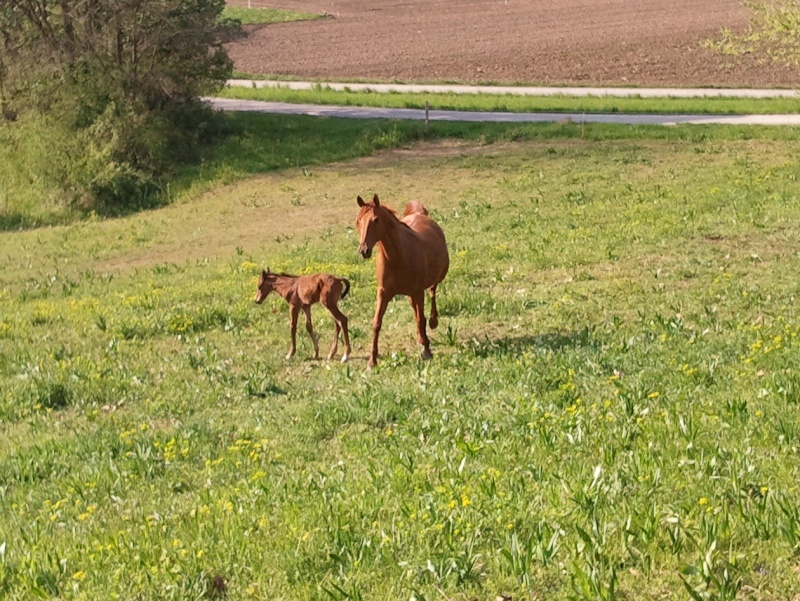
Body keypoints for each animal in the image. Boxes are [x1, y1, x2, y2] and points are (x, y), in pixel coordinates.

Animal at [356, 195, 450, 368]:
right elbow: (376, 323)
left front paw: (427, 352)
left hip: (435, 278)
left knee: (432, 291)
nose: (364, 250)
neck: (398, 256)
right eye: (358, 220)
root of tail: (420, 214)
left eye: (376, 220)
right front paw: (372, 361)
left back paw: (433, 322)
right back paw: (421, 338)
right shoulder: (383, 292)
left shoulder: (418, 291)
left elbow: (421, 319)